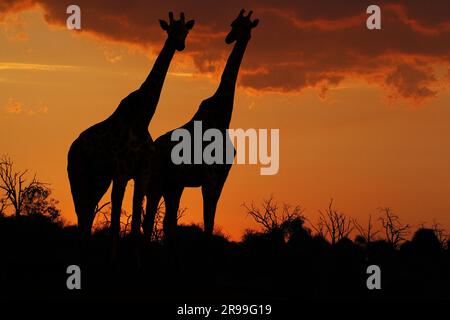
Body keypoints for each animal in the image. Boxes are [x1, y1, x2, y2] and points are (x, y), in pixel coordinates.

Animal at [67, 11, 195, 255]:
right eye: (170, 30)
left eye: (185, 30)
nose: (180, 44)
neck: (142, 118)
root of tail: (72, 148)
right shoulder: (122, 172)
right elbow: (116, 223)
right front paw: (113, 260)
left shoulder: (142, 173)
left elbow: (136, 224)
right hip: (78, 175)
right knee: (81, 213)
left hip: (99, 179)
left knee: (86, 216)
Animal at [142, 9, 258, 242]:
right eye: (233, 24)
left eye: (244, 26)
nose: (229, 38)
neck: (223, 118)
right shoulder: (210, 177)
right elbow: (207, 221)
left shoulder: (221, 178)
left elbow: (210, 223)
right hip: (157, 181)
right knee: (149, 219)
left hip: (173, 185)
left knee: (167, 222)